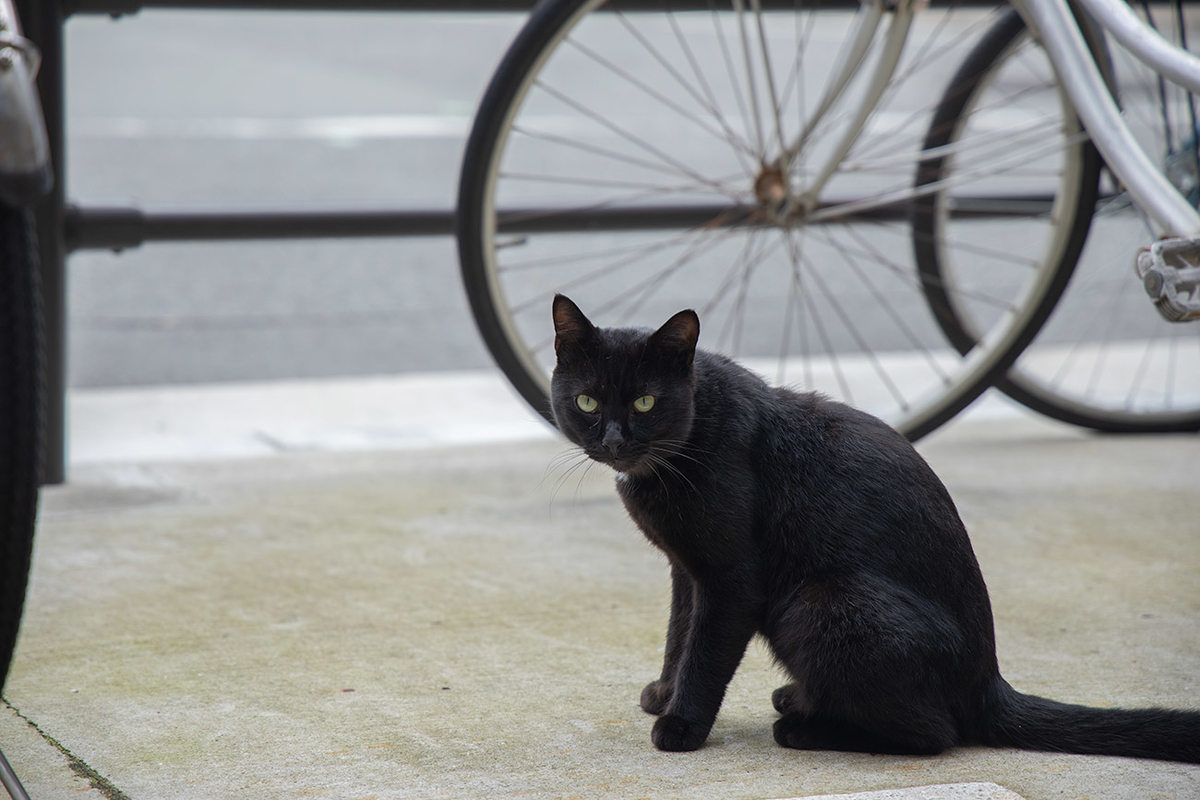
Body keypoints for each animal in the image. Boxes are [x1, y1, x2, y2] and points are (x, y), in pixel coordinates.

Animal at [549, 296, 1200, 762]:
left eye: (644, 403)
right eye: (586, 402)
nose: (614, 441)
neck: (693, 431)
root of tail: (988, 682)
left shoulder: (731, 578)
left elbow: (704, 653)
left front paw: (681, 725)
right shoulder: (688, 570)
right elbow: (678, 634)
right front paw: (663, 695)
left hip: (823, 602)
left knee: (935, 735)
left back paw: (804, 728)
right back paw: (800, 700)